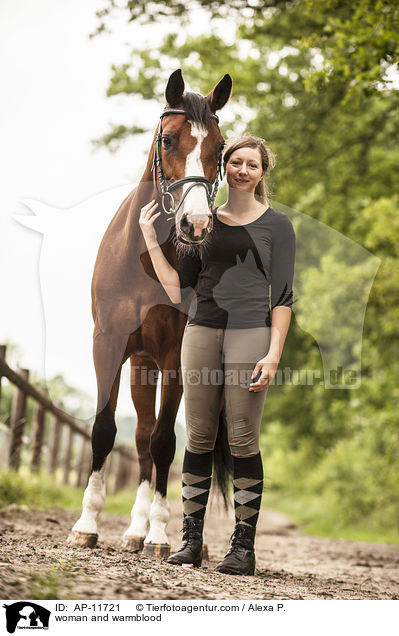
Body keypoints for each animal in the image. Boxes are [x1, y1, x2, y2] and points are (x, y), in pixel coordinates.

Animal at [67, 71, 233, 556]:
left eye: (220, 147)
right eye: (168, 139)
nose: (195, 224)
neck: (144, 259)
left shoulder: (175, 357)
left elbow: (165, 443)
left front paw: (160, 534)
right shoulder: (107, 347)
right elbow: (107, 430)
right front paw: (86, 525)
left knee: (178, 442)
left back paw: (177, 538)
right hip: (142, 368)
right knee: (139, 437)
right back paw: (133, 531)